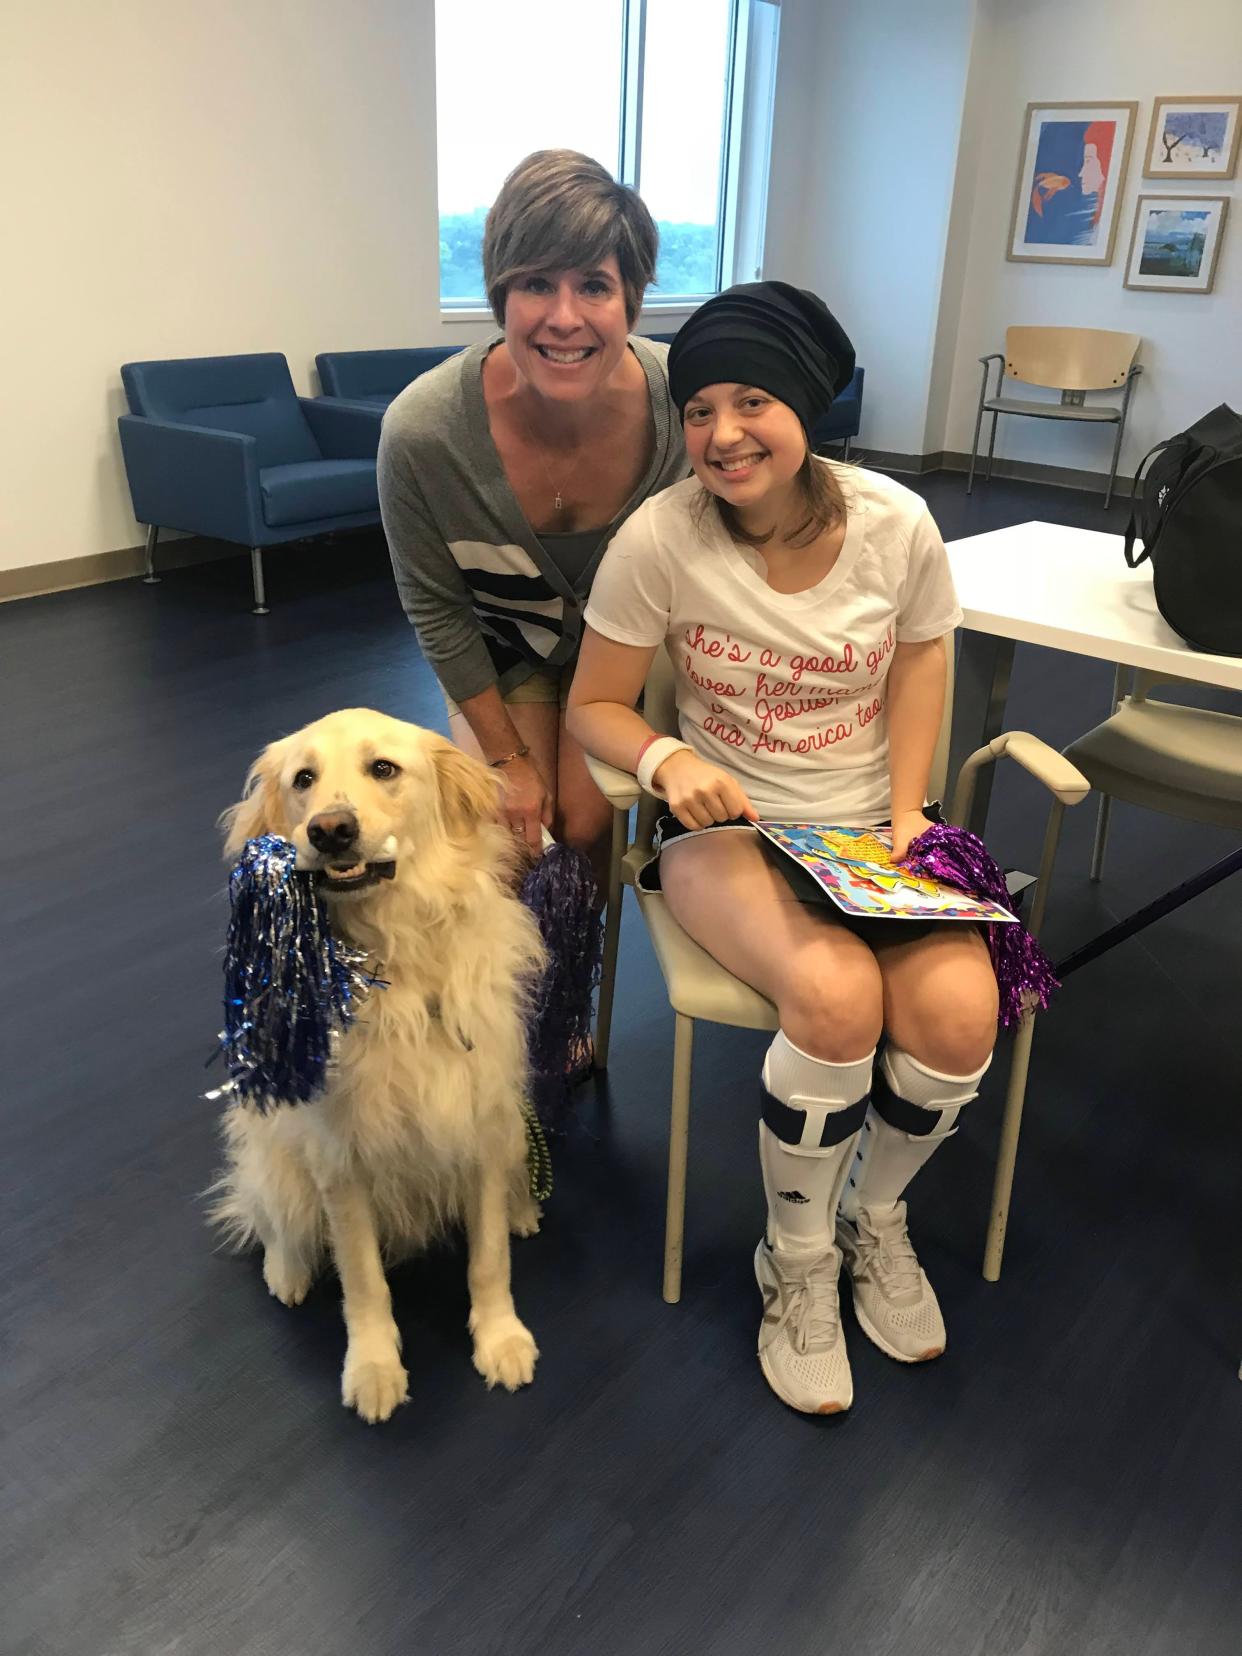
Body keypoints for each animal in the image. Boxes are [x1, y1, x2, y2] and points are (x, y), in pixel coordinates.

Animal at [211, 705, 546, 1417]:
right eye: (303, 779)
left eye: (384, 768)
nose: (330, 830)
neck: (397, 958)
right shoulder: (341, 1159)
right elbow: (363, 1280)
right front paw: (372, 1368)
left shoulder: (479, 1125)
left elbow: (489, 1259)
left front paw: (500, 1339)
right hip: (275, 1145)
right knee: (269, 1209)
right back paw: (286, 1270)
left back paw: (522, 1207)